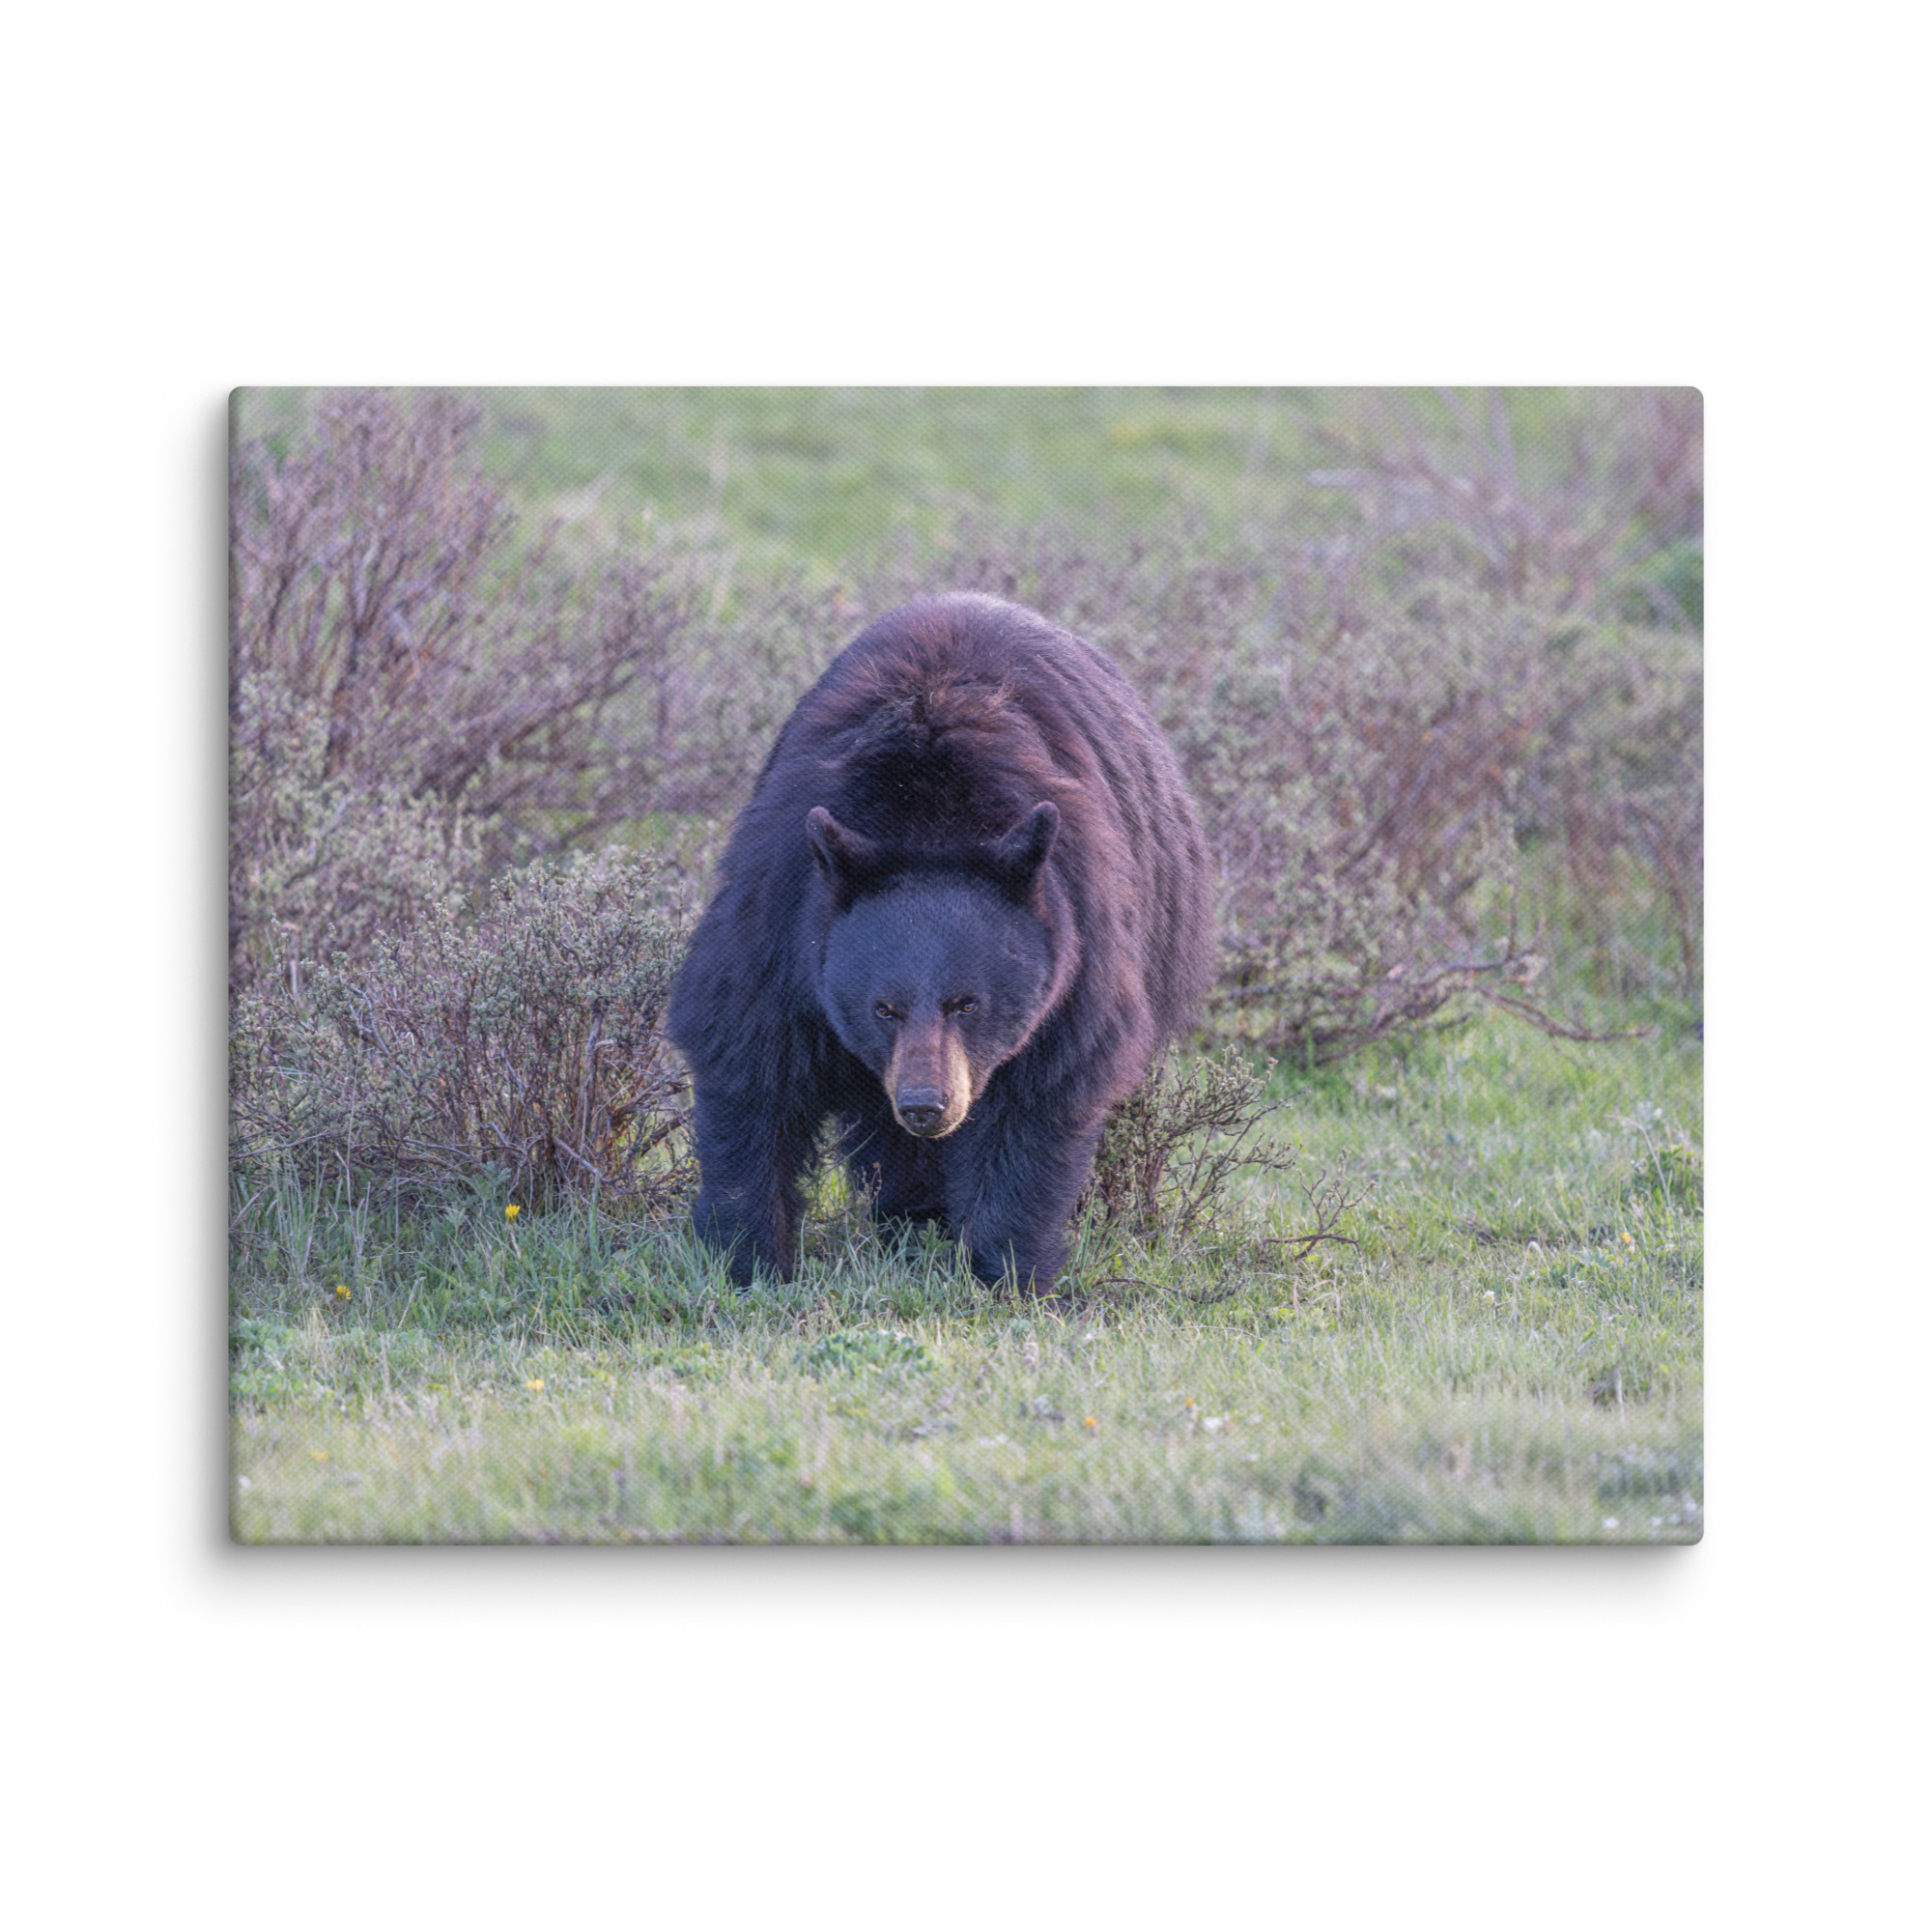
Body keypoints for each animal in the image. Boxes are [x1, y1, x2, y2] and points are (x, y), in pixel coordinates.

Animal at [665, 591, 1214, 1290]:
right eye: (883, 1008)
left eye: (968, 1003)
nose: (927, 1105)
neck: (927, 816)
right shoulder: (783, 917)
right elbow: (750, 1063)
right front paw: (747, 1258)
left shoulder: (1077, 941)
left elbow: (1039, 1096)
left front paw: (1008, 1270)